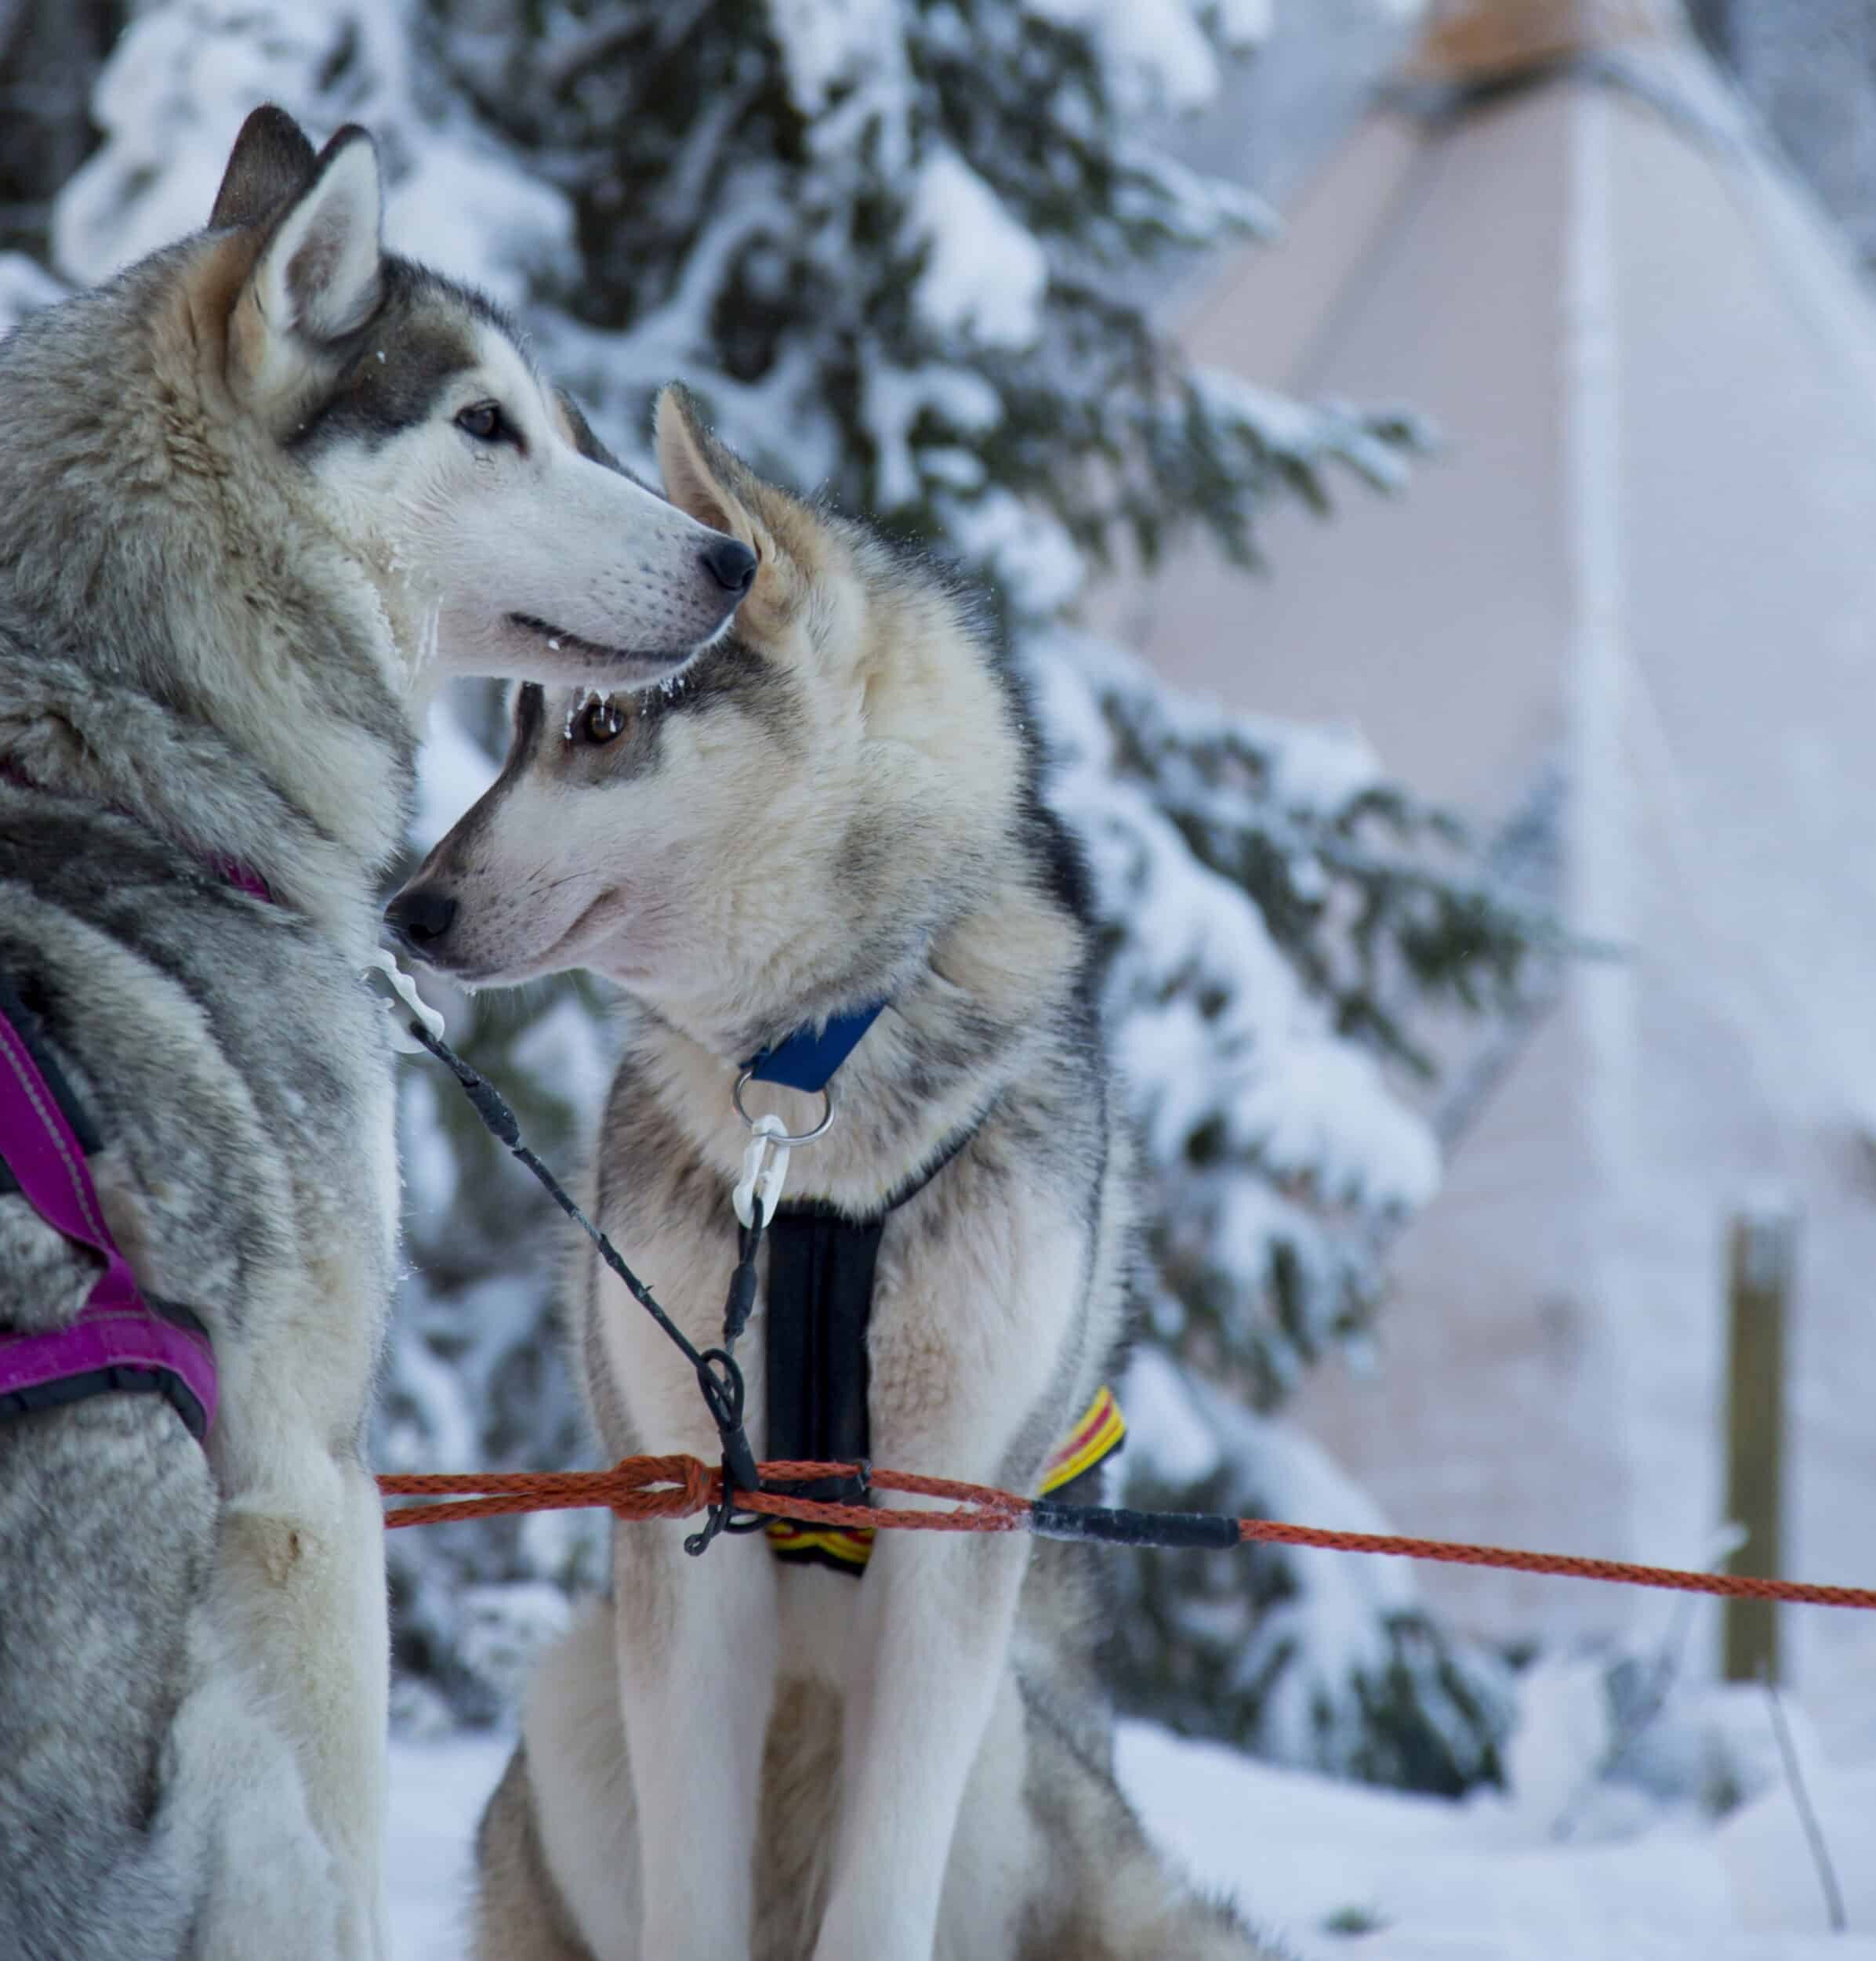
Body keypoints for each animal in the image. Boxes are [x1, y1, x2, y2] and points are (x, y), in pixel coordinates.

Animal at [390, 390, 1279, 1952]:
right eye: (517, 728)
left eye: (603, 724)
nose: (407, 907)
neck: (806, 1111)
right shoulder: (684, 1512)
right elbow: (689, 1895)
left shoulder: (953, 1524)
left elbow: (883, 1893)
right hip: (575, 1695)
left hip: (1000, 1754)